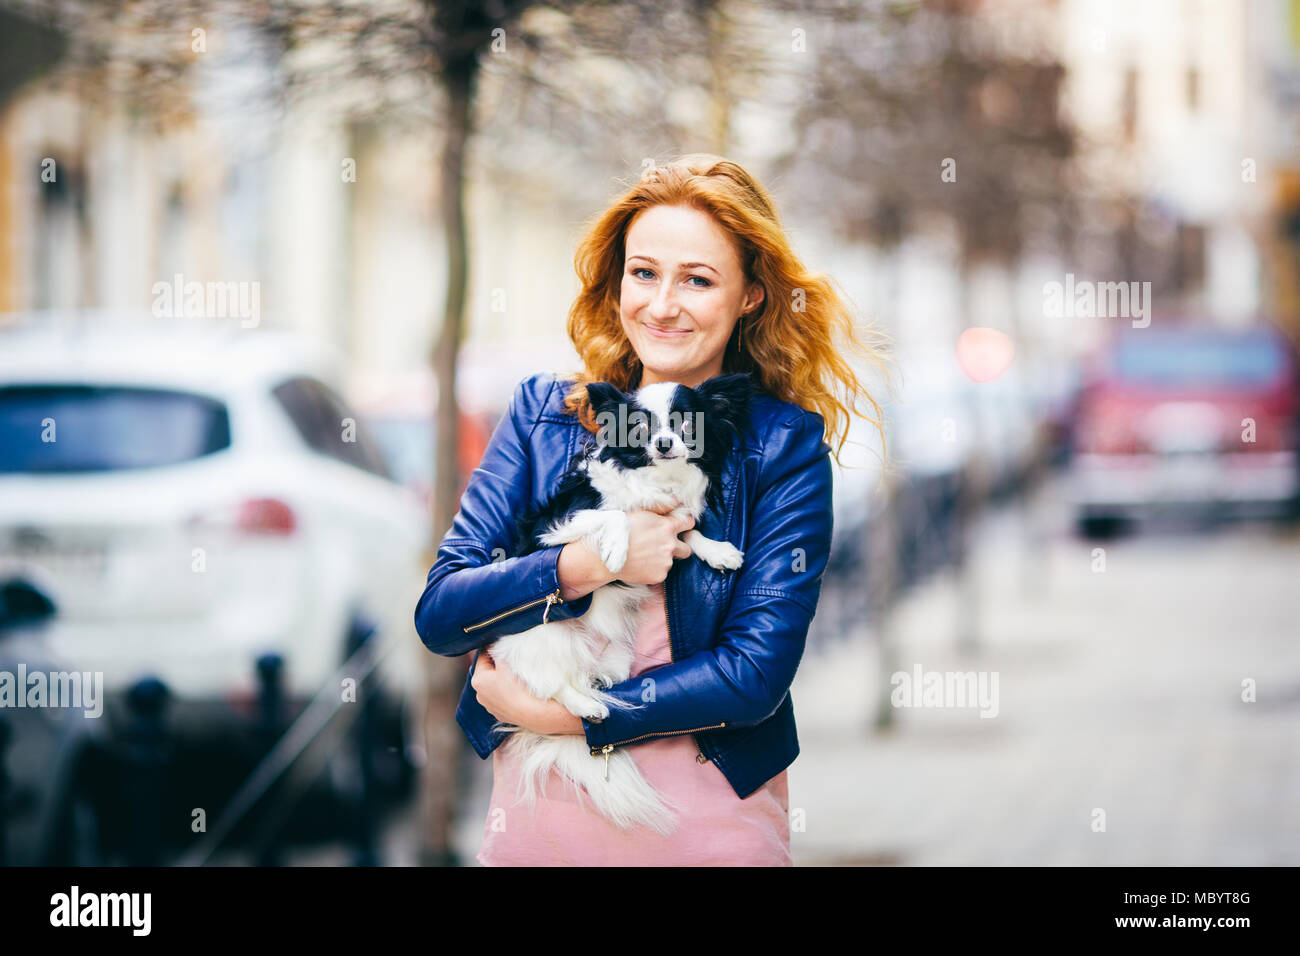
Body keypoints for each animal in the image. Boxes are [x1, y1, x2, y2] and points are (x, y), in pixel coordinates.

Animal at [486, 369, 754, 832]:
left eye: (687, 424)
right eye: (641, 429)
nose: (663, 443)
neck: (655, 479)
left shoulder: (673, 521)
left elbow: (688, 531)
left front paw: (717, 551)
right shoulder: (558, 527)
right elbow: (615, 514)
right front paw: (614, 550)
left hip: (617, 656)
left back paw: (597, 690)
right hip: (544, 637)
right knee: (548, 685)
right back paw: (589, 707)